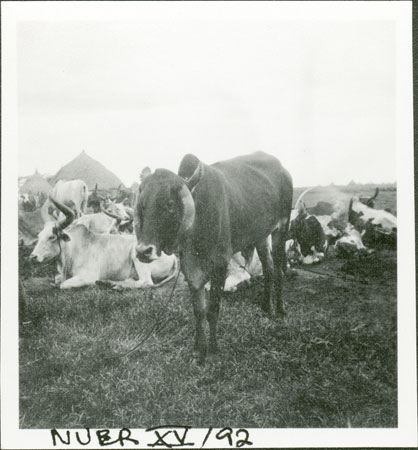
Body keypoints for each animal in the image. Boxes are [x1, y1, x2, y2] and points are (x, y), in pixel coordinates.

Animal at [30, 196, 177, 288]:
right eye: (39, 236)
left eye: (52, 237)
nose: (32, 257)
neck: (73, 249)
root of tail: (173, 255)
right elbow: (56, 280)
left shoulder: (87, 276)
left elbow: (62, 285)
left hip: (139, 257)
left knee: (146, 282)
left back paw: (114, 284)